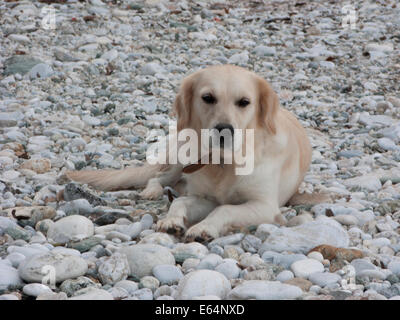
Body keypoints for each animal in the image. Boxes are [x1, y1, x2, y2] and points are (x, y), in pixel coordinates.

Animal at [67, 63, 312, 241]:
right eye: (208, 97)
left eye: (244, 102)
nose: (224, 130)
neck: (223, 162)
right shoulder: (205, 196)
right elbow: (180, 203)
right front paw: (172, 221)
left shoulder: (264, 206)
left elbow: (225, 209)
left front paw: (204, 227)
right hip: (181, 156)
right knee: (159, 178)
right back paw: (152, 191)